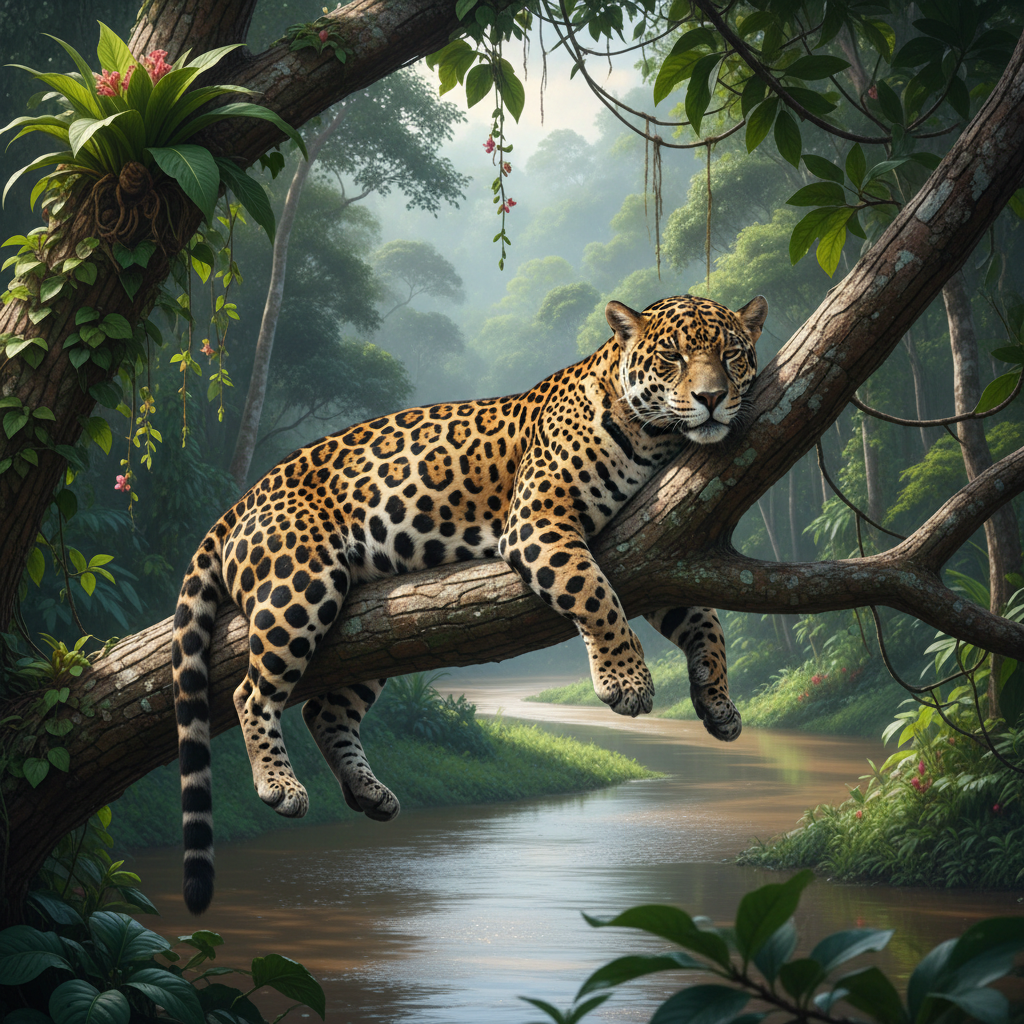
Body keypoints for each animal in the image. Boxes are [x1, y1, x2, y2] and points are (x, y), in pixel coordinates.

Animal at [172, 293, 768, 914]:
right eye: (672, 358)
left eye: (730, 355)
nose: (711, 398)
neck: (653, 438)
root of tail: (242, 501)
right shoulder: (540, 521)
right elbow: (597, 596)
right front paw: (626, 683)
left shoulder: (657, 547)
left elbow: (707, 624)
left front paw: (717, 702)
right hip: (301, 586)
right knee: (251, 692)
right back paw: (279, 785)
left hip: (369, 636)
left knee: (323, 710)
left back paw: (369, 792)